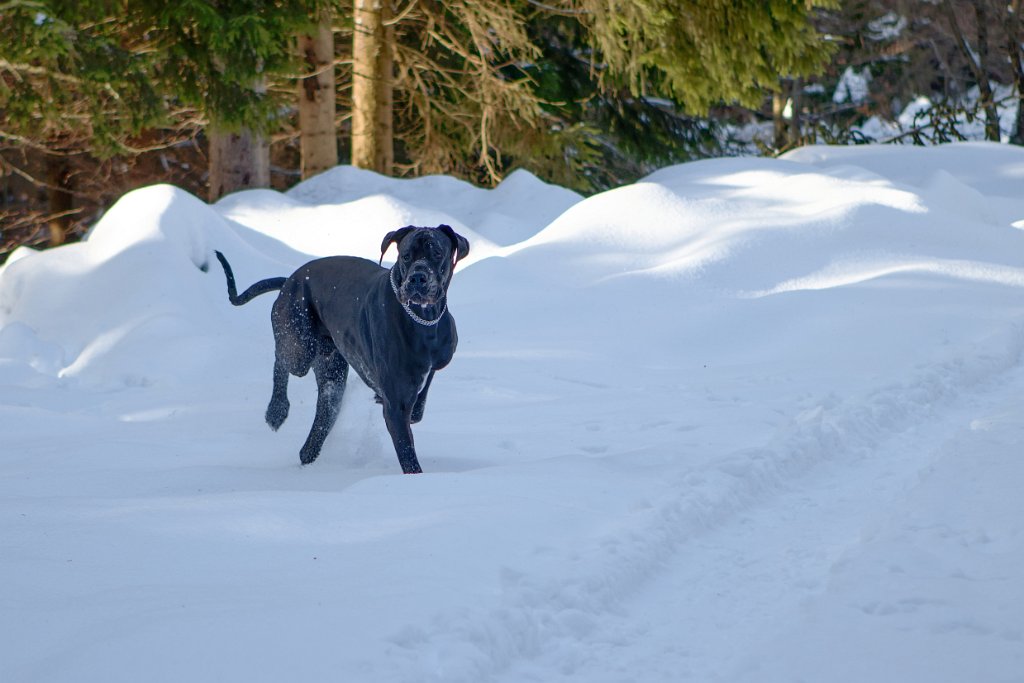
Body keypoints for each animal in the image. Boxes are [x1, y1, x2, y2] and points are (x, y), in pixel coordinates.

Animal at [219, 227, 471, 473]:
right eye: (406, 255)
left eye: (437, 253)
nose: (418, 277)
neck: (423, 319)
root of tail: (290, 279)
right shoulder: (396, 406)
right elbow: (408, 455)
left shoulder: (436, 362)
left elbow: (421, 396)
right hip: (300, 346)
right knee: (281, 359)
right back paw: (276, 410)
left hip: (332, 375)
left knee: (321, 419)